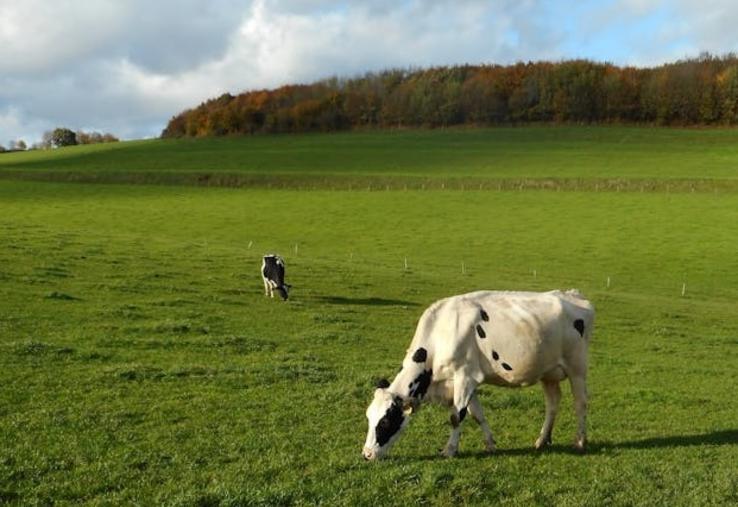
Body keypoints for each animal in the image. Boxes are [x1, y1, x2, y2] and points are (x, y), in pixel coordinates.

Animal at [362, 289, 594, 461]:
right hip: (548, 372)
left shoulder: (465, 376)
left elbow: (457, 416)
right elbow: (477, 414)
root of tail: (573, 294)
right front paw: (490, 444)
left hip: (577, 368)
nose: (366, 454)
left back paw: (580, 442)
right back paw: (542, 440)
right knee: (552, 403)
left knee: (580, 403)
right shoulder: (465, 382)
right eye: (369, 417)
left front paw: (449, 450)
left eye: (385, 422)